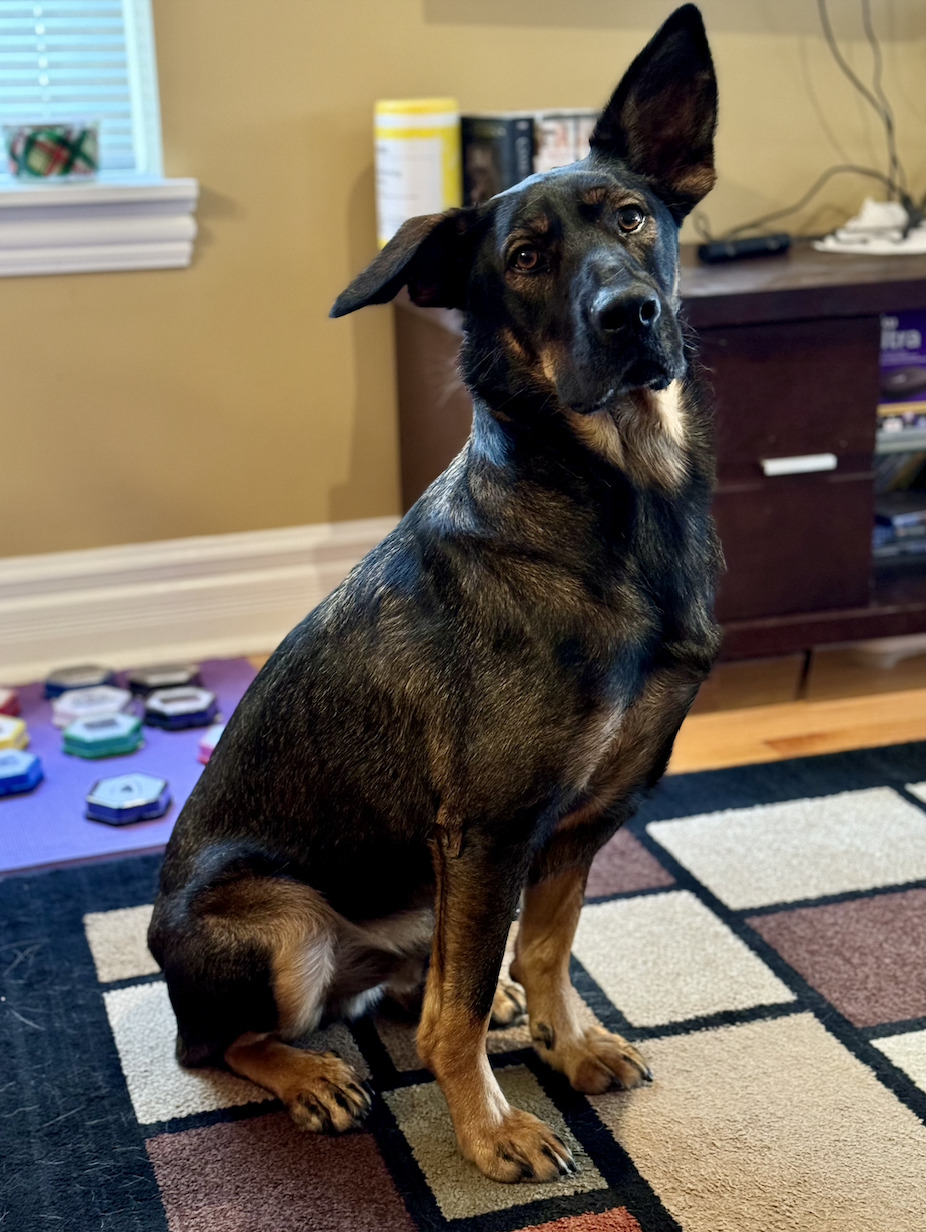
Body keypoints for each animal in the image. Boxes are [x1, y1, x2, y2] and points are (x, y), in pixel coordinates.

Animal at [148, 4, 722, 1184]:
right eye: (525, 259)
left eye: (634, 219)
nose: (631, 315)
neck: (623, 500)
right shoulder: (493, 826)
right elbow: (448, 1021)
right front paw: (491, 1132)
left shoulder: (584, 818)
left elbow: (547, 948)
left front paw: (566, 1043)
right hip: (282, 919)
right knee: (222, 1040)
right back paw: (313, 1074)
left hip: (424, 893)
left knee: (426, 978)